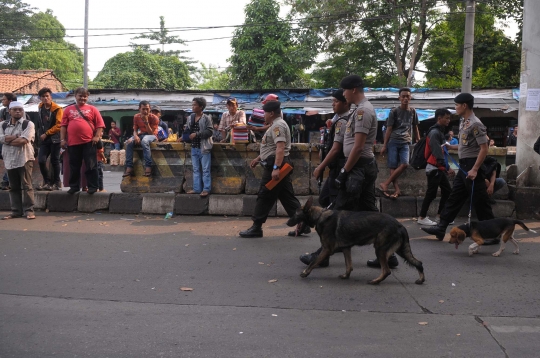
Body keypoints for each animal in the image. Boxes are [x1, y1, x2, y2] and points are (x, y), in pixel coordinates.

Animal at [286, 196, 426, 286]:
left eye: (296, 214)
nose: (287, 223)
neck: (319, 216)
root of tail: (400, 225)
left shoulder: (327, 249)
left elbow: (313, 262)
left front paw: (305, 273)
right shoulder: (346, 249)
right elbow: (349, 266)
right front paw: (346, 276)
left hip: (380, 249)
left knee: (387, 270)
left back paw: (375, 281)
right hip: (400, 250)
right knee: (418, 263)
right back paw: (421, 280)